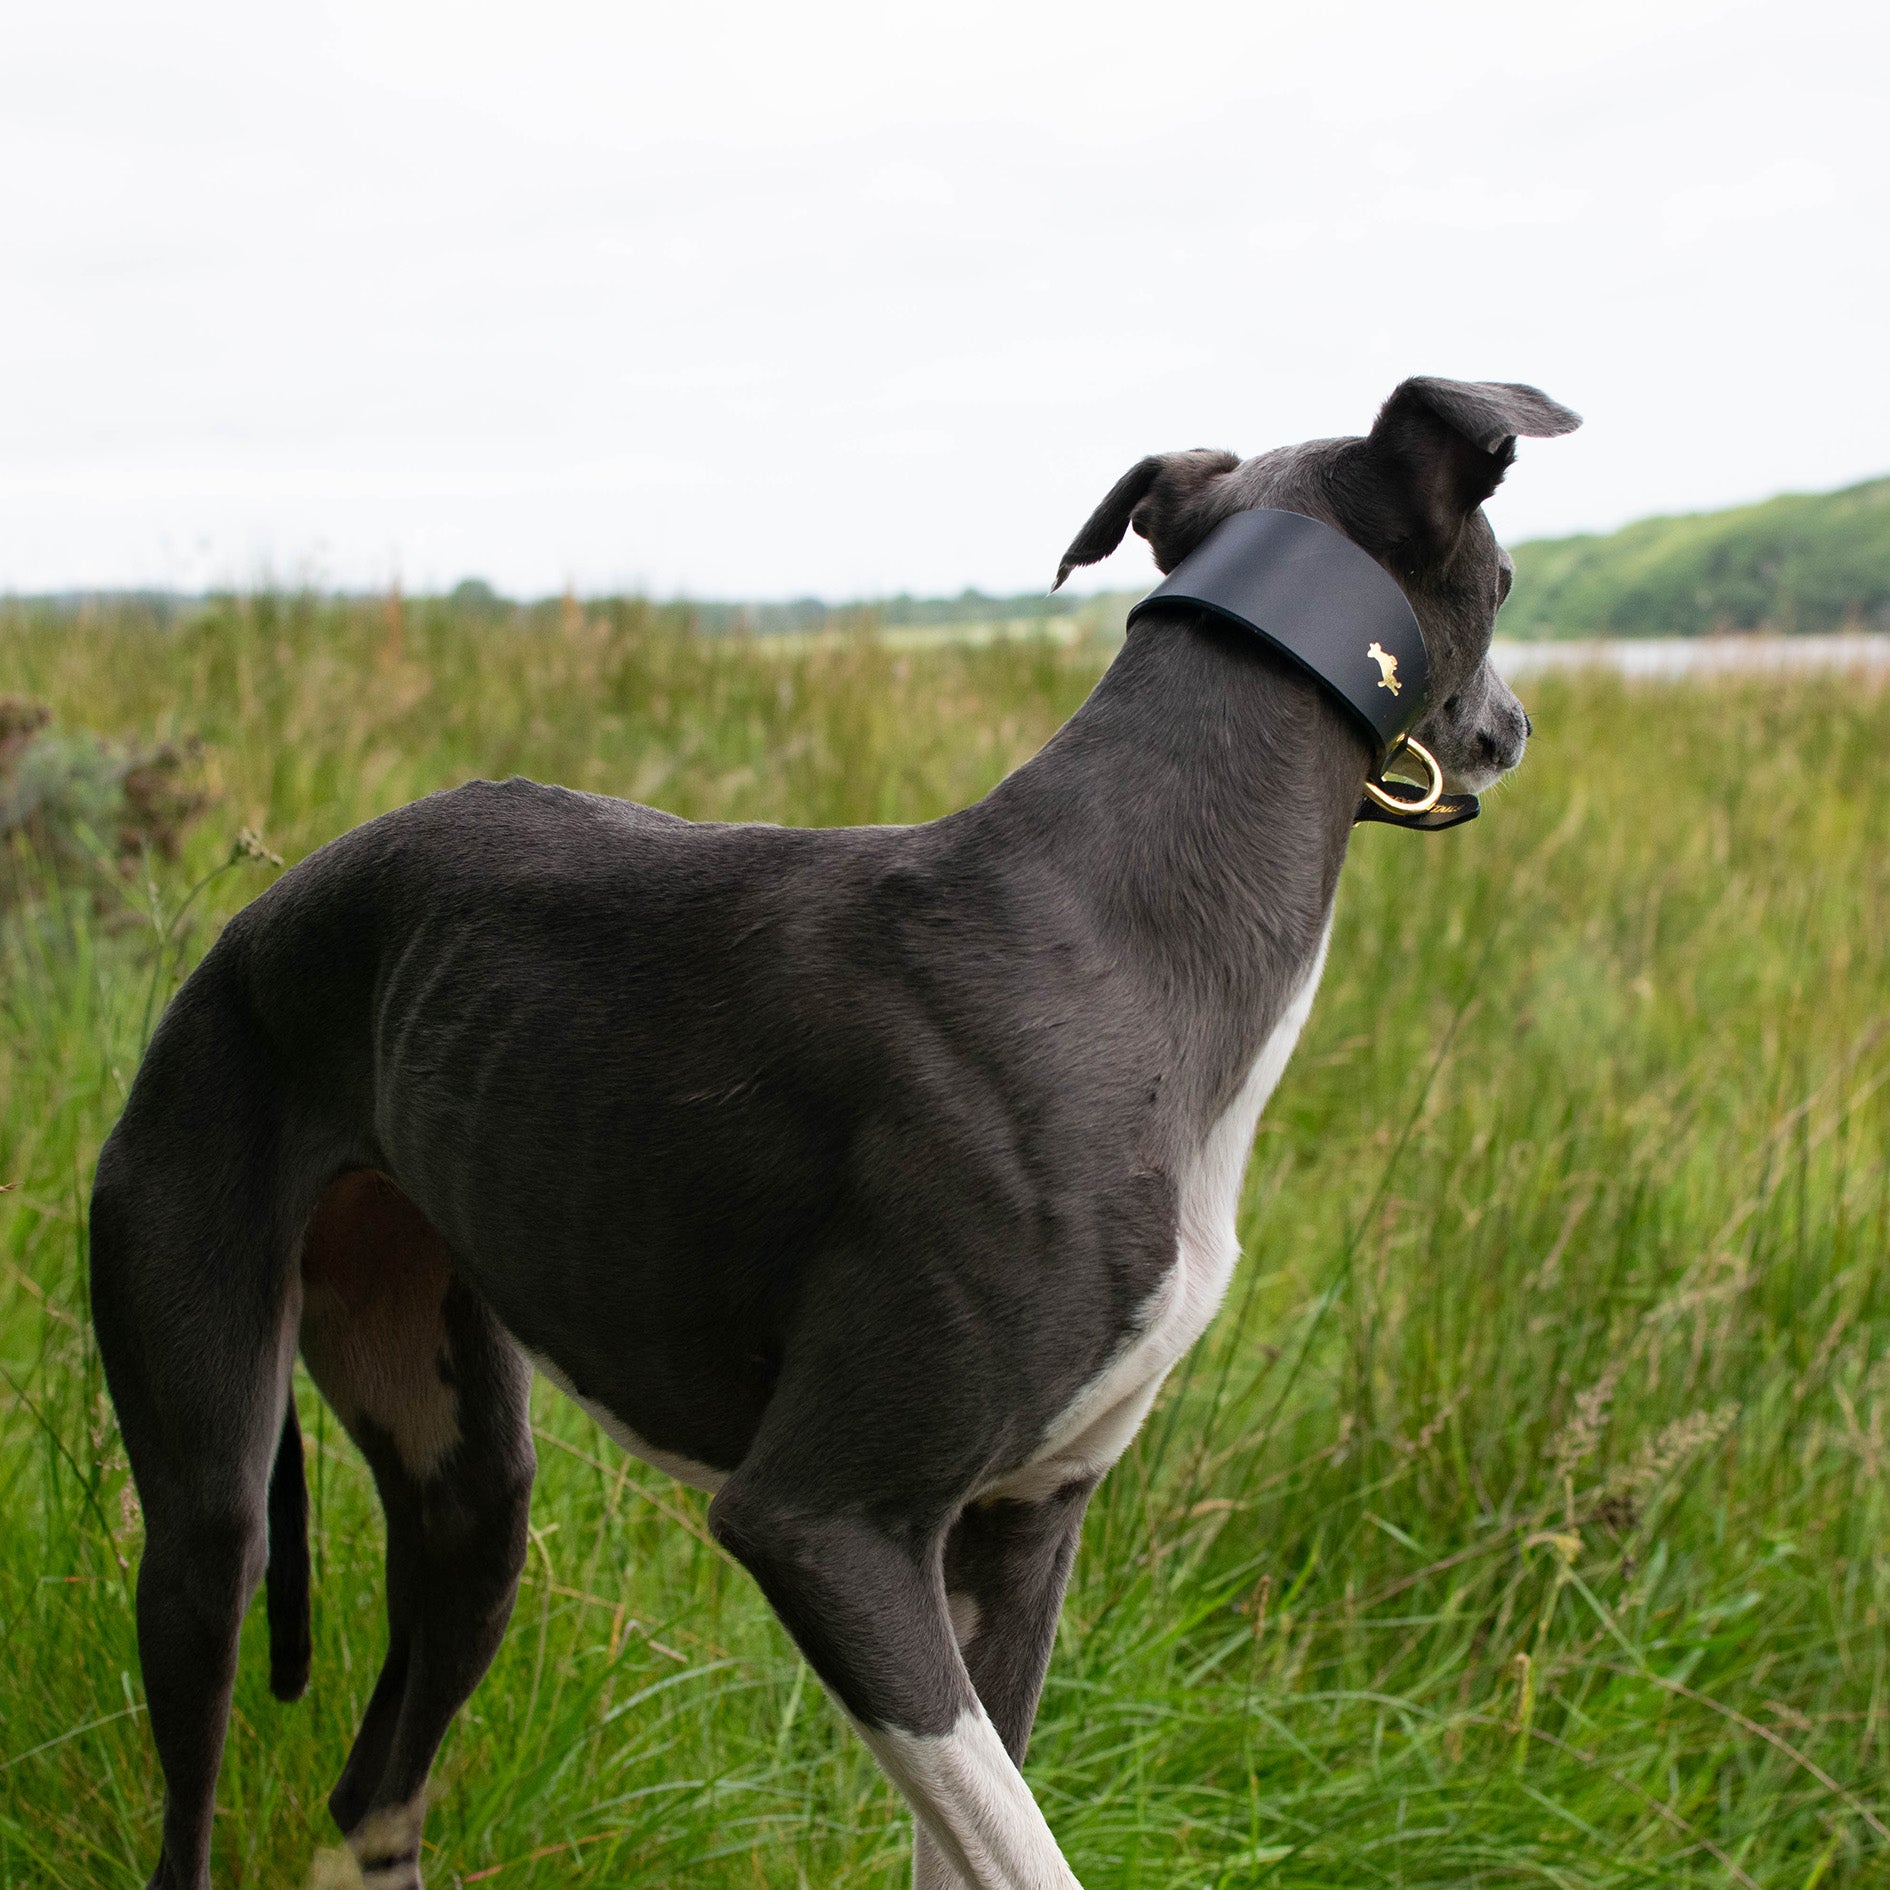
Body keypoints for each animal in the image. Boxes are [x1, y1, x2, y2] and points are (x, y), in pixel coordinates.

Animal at [88, 372, 1580, 1890]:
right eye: (1511, 576)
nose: (1516, 726)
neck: (1129, 924)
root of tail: (243, 935)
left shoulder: (1018, 1530)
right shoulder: (825, 1524)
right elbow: (1026, 1847)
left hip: (468, 1493)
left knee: (374, 1785)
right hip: (211, 1500)